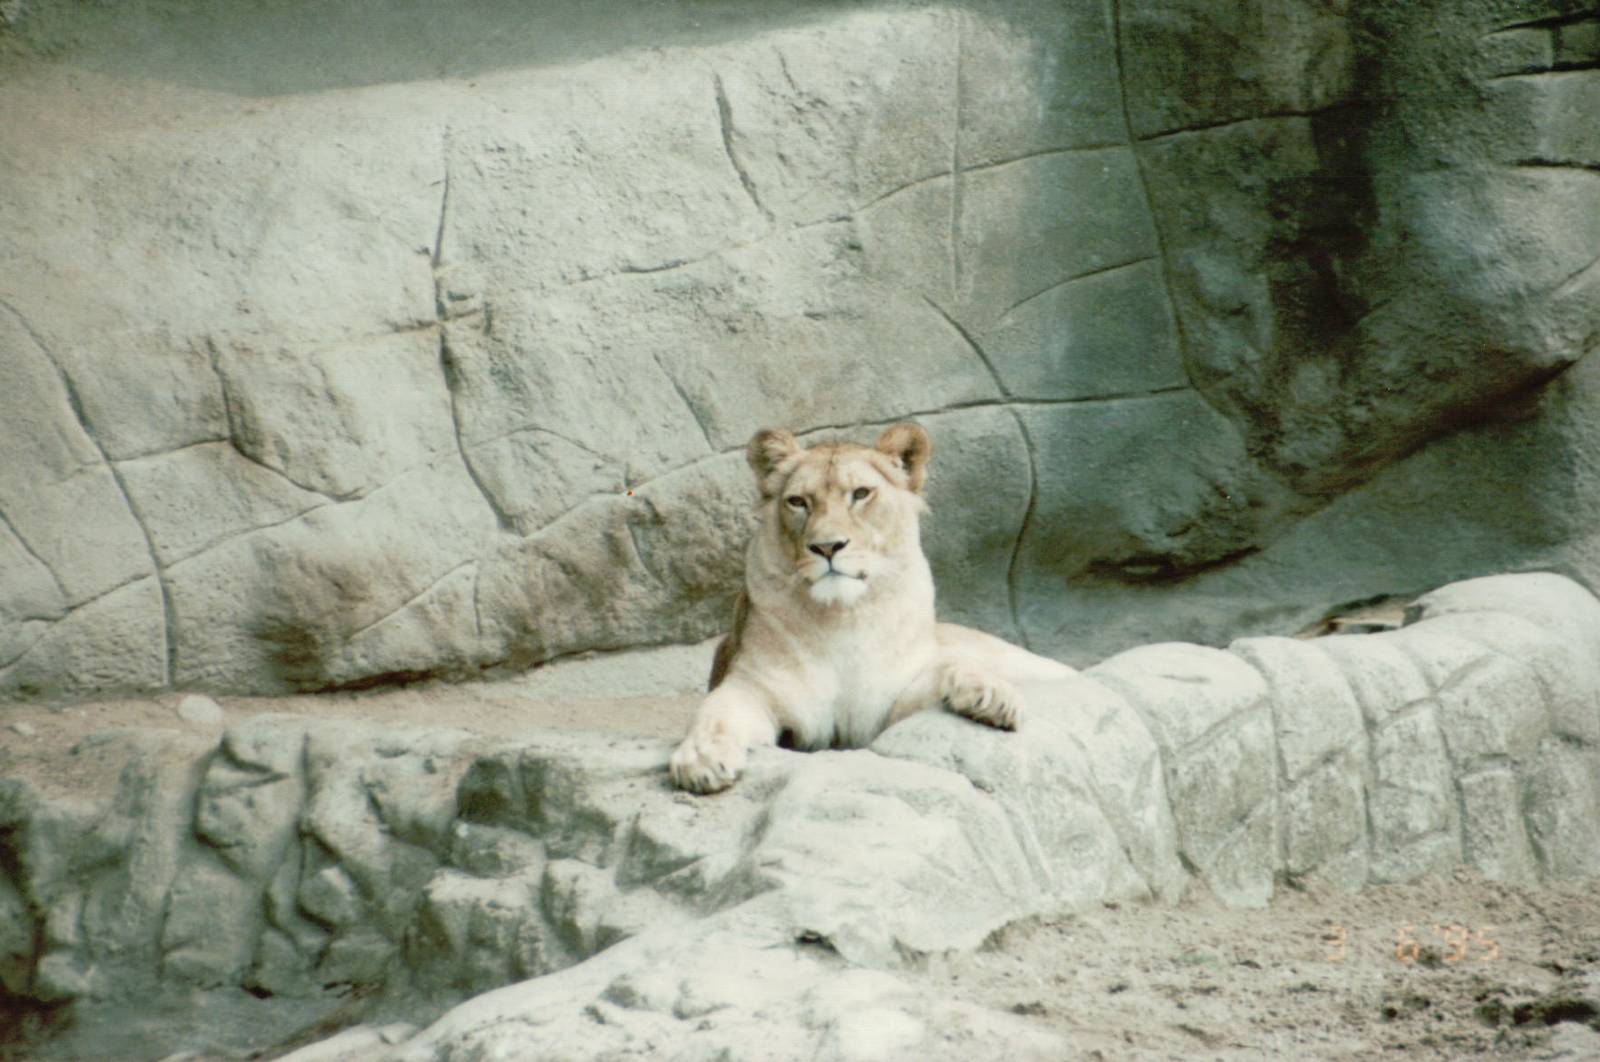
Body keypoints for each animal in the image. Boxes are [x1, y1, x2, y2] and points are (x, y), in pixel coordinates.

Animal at [668, 422, 1077, 793]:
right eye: (798, 502)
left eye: (861, 494)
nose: (827, 547)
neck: (841, 619)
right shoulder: (756, 686)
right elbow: (717, 710)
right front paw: (701, 759)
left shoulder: (883, 709)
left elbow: (944, 669)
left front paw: (993, 696)